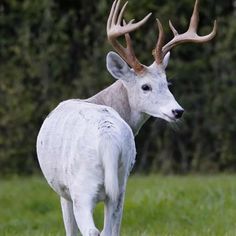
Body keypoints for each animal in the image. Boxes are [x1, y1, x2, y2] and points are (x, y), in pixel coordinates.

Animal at [36, 0, 216, 235]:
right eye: (146, 86)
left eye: (167, 84)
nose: (178, 111)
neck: (99, 100)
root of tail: (108, 138)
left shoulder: (63, 191)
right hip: (119, 185)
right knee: (109, 229)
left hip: (82, 188)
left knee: (93, 230)